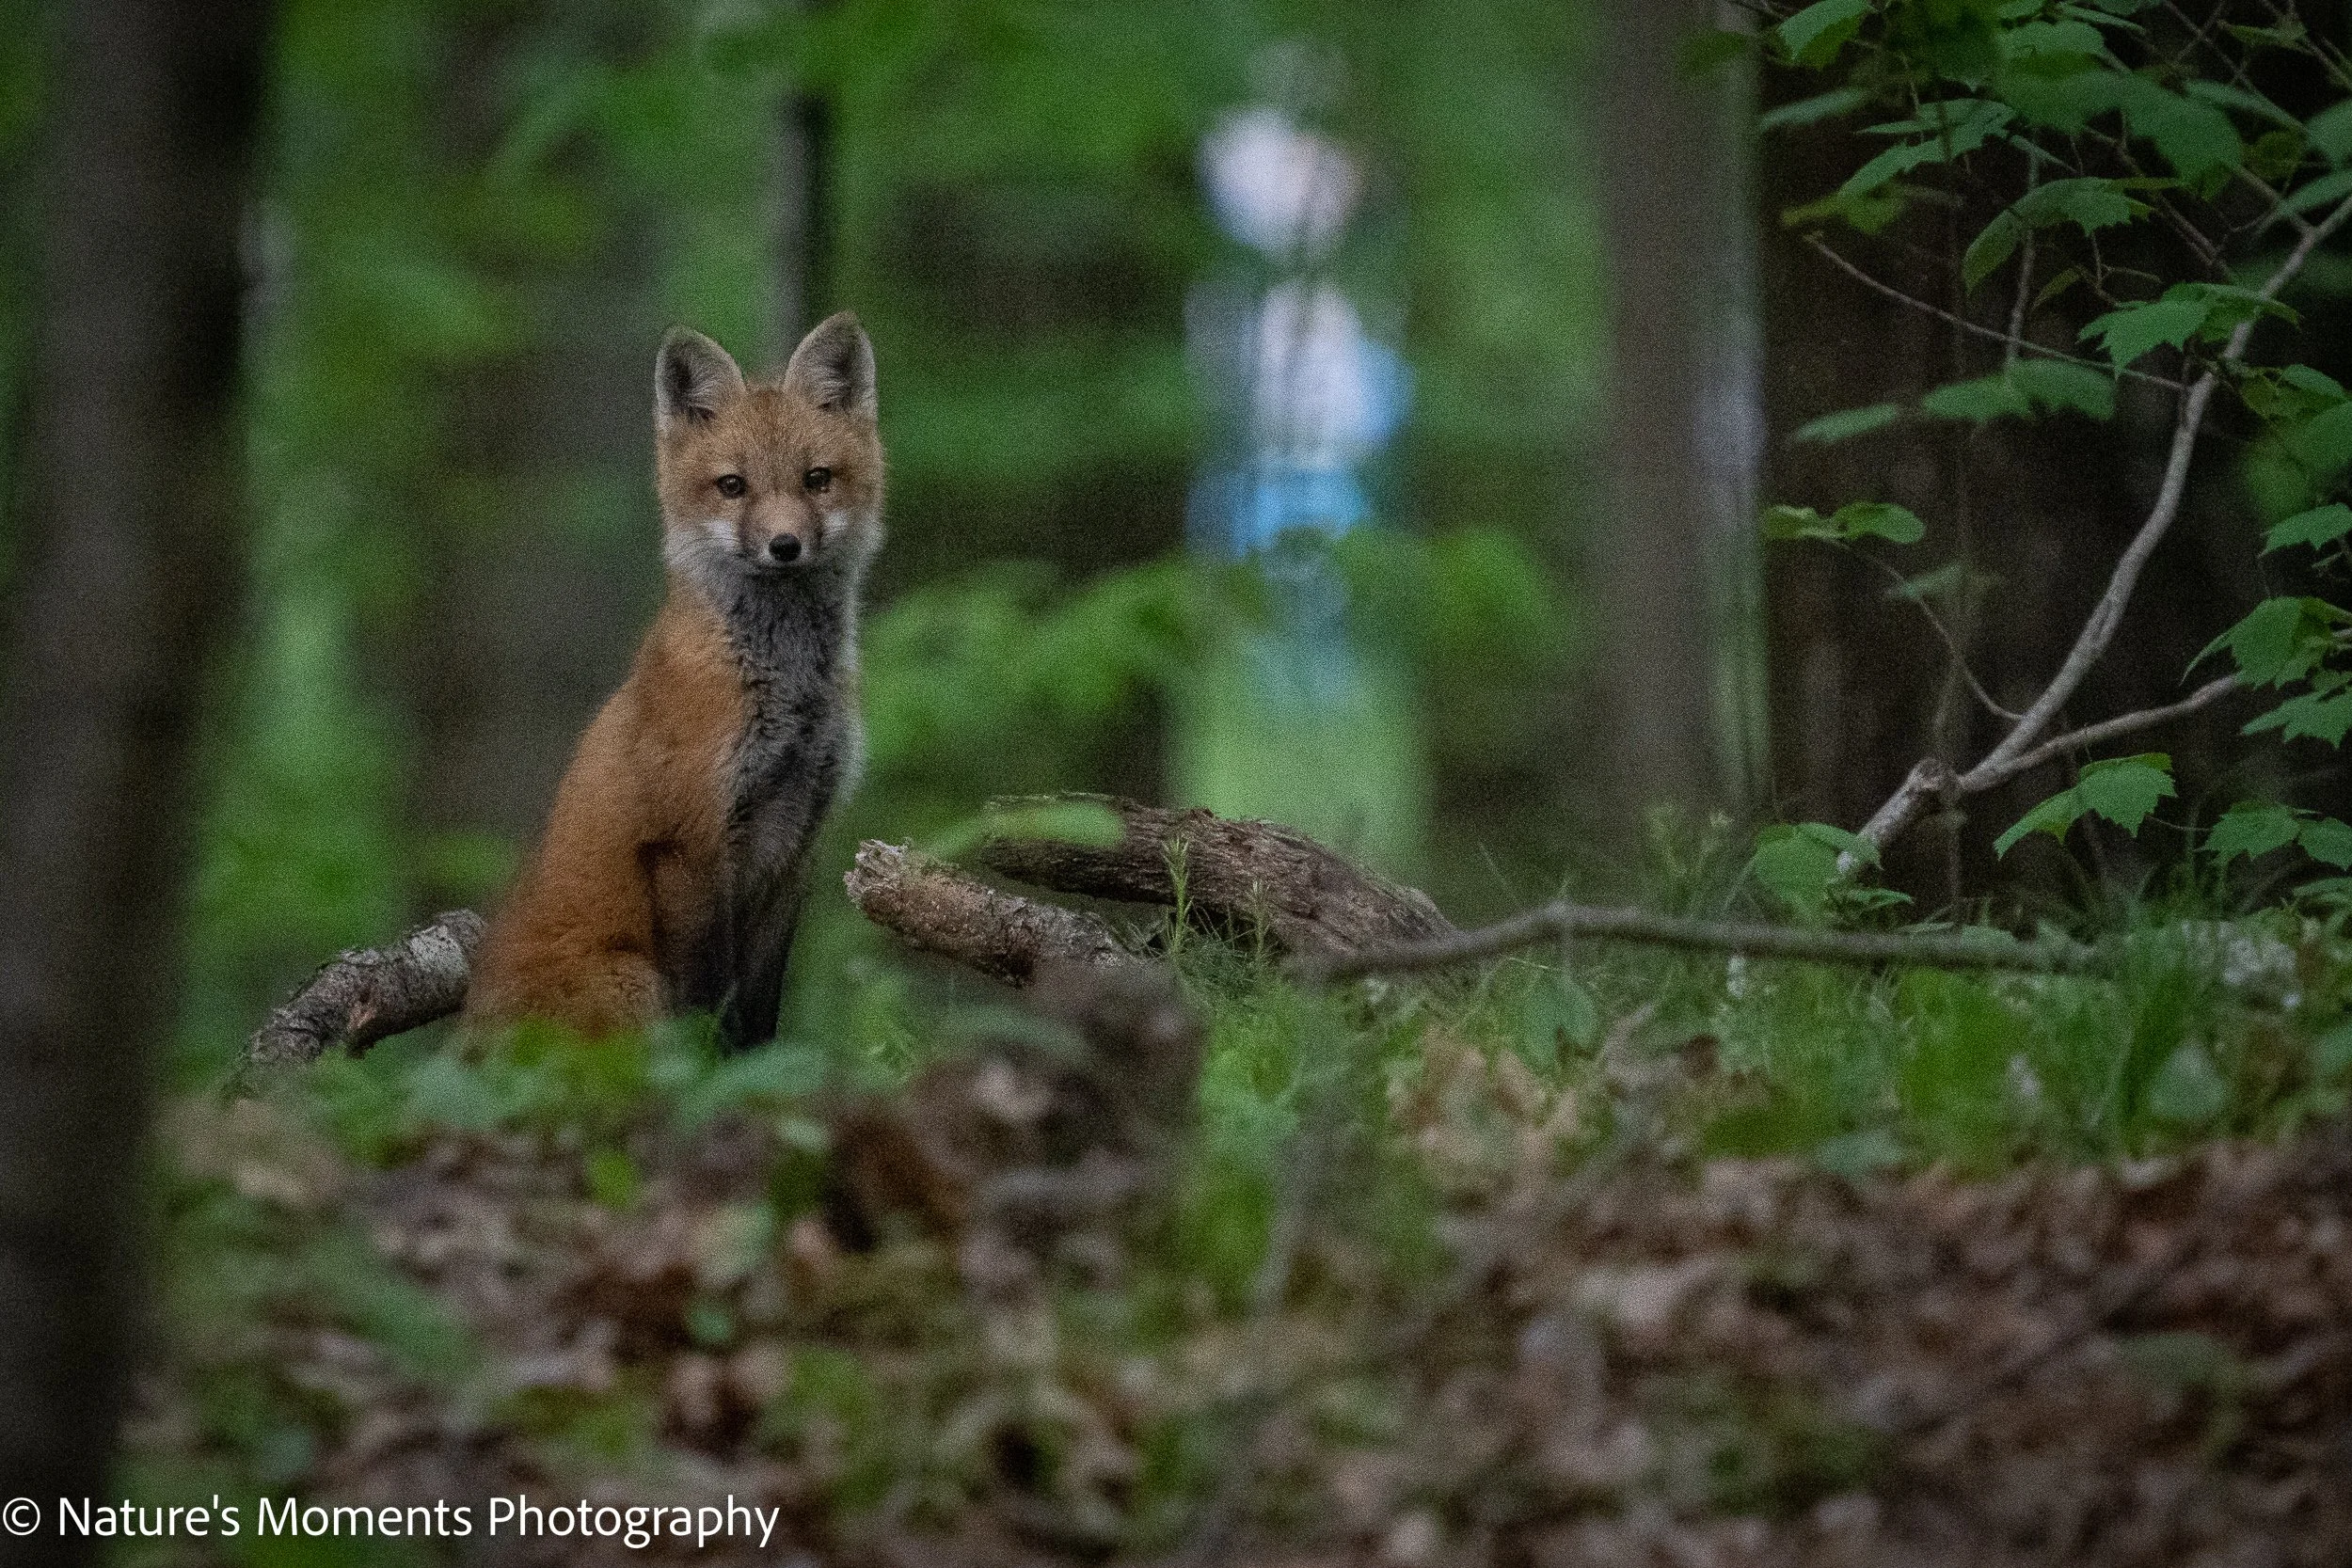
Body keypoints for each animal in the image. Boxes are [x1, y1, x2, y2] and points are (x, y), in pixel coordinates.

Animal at [463, 312, 883, 1050]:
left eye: (817, 479)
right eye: (733, 486)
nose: (784, 546)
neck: (790, 694)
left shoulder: (793, 845)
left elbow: (760, 1016)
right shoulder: (689, 844)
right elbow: (707, 1006)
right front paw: (712, 1070)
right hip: (631, 981)